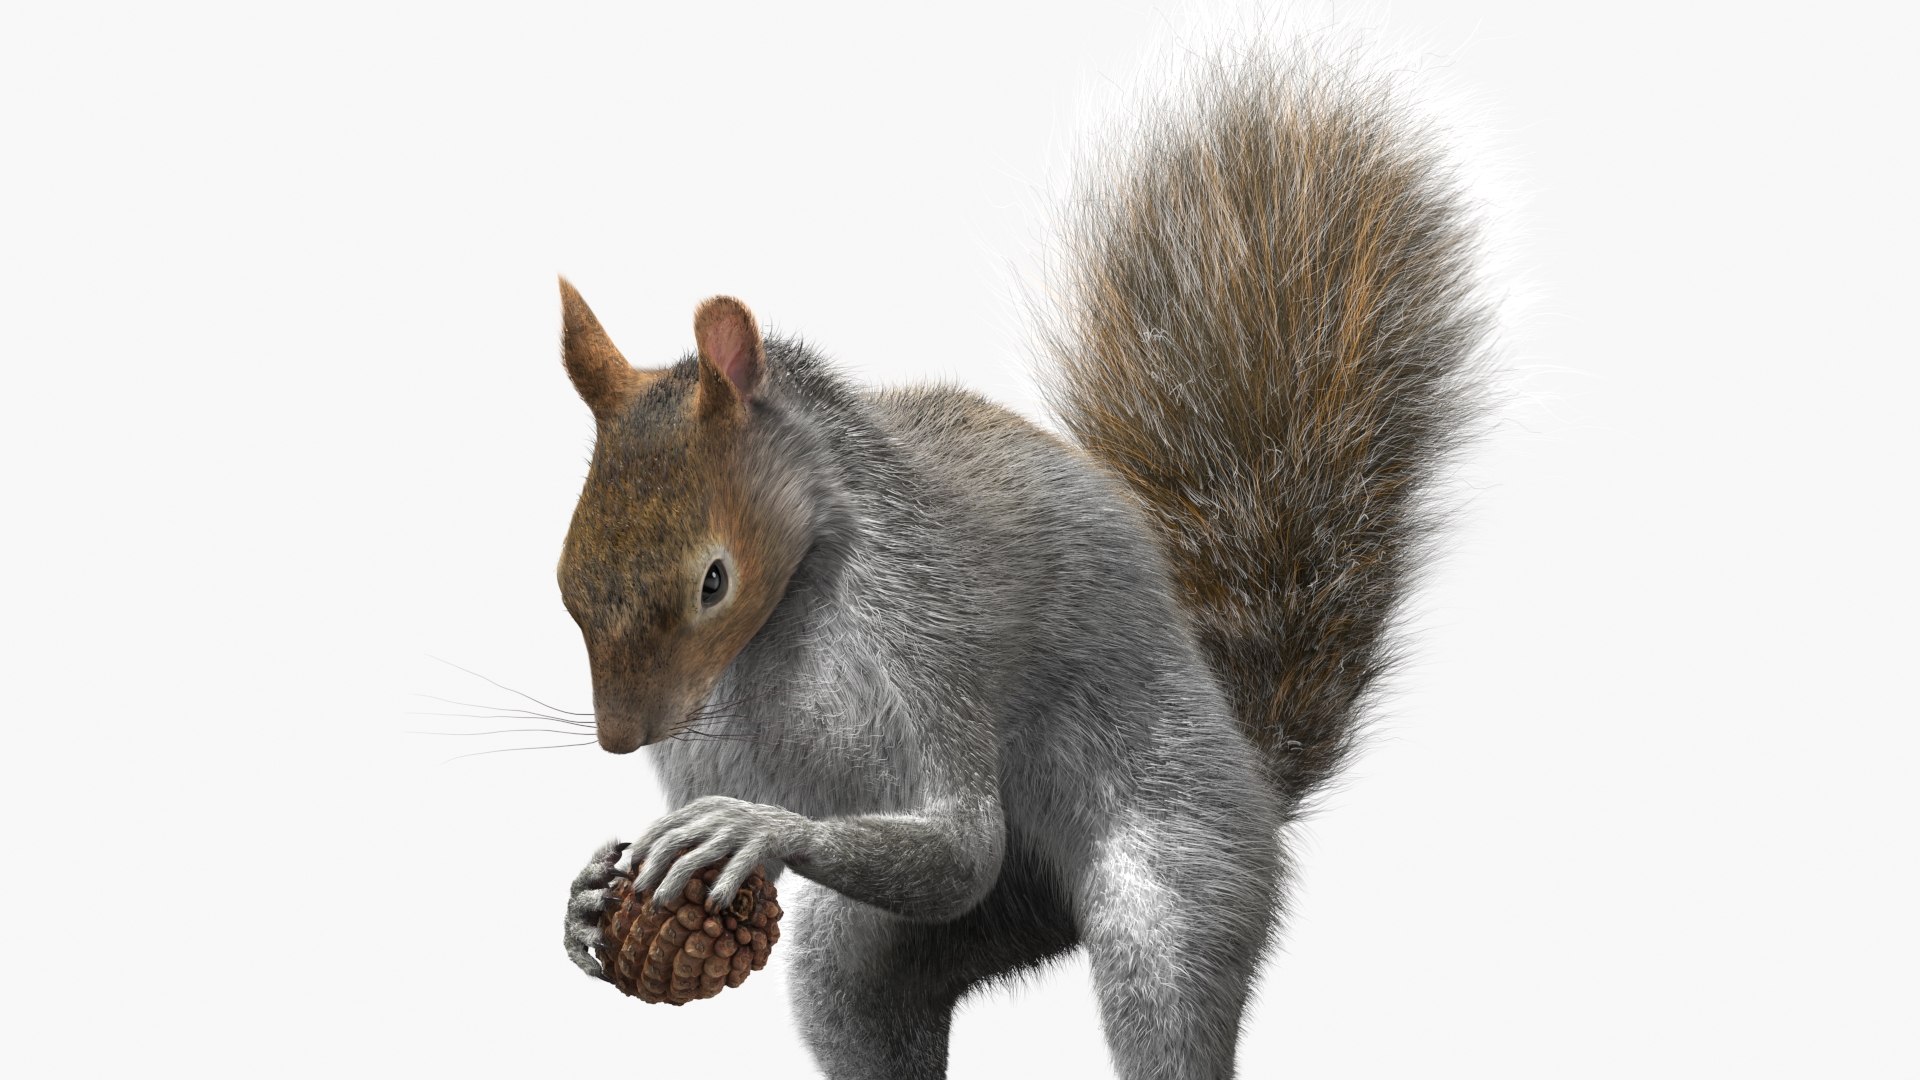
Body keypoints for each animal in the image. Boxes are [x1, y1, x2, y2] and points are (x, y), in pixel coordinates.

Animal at [556, 49, 1490, 1080]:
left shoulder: (926, 631)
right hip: (894, 943)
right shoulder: (706, 734)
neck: (784, 622)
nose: (619, 739)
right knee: (867, 989)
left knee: (1155, 963)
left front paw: (753, 828)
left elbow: (961, 842)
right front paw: (590, 896)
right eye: (565, 578)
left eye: (714, 580)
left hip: (1181, 859)